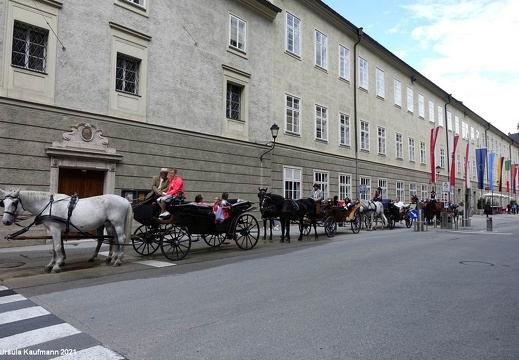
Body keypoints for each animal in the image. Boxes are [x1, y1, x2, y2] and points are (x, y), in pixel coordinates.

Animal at [2, 190, 133, 272]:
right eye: (3, 203)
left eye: (14, 203)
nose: (5, 221)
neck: (48, 206)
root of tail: (125, 200)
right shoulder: (54, 230)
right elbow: (54, 248)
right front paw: (52, 264)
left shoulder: (55, 229)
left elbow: (57, 247)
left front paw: (56, 265)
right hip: (110, 224)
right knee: (114, 239)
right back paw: (112, 257)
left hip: (117, 223)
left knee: (121, 238)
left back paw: (118, 259)